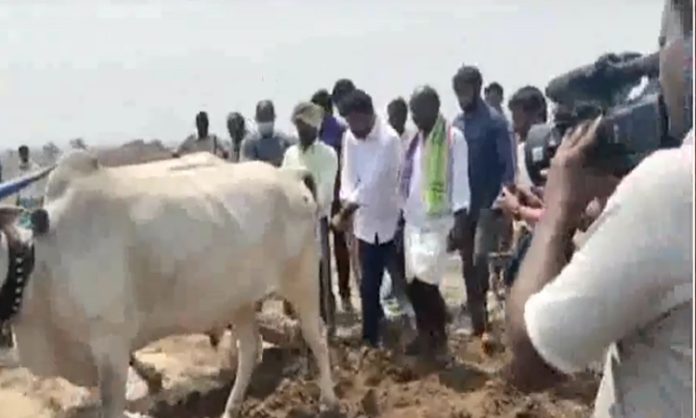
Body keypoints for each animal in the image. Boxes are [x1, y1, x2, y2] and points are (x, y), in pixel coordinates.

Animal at [0, 152, 338, 418]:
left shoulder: (111, 345)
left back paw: (329, 400)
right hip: (238, 299)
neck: (41, 264)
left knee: (316, 335)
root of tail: (289, 176)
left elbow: (112, 407)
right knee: (250, 349)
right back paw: (230, 409)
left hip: (302, 278)